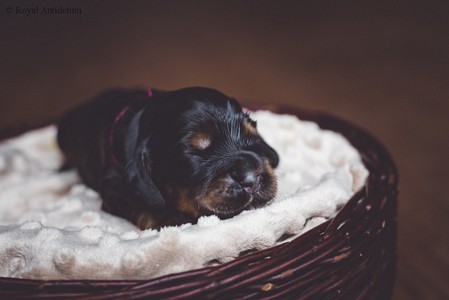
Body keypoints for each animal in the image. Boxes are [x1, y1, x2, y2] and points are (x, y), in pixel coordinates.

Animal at [57, 86, 278, 230]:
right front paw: (173, 218)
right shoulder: (113, 189)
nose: (251, 180)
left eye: (251, 137)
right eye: (194, 152)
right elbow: (145, 207)